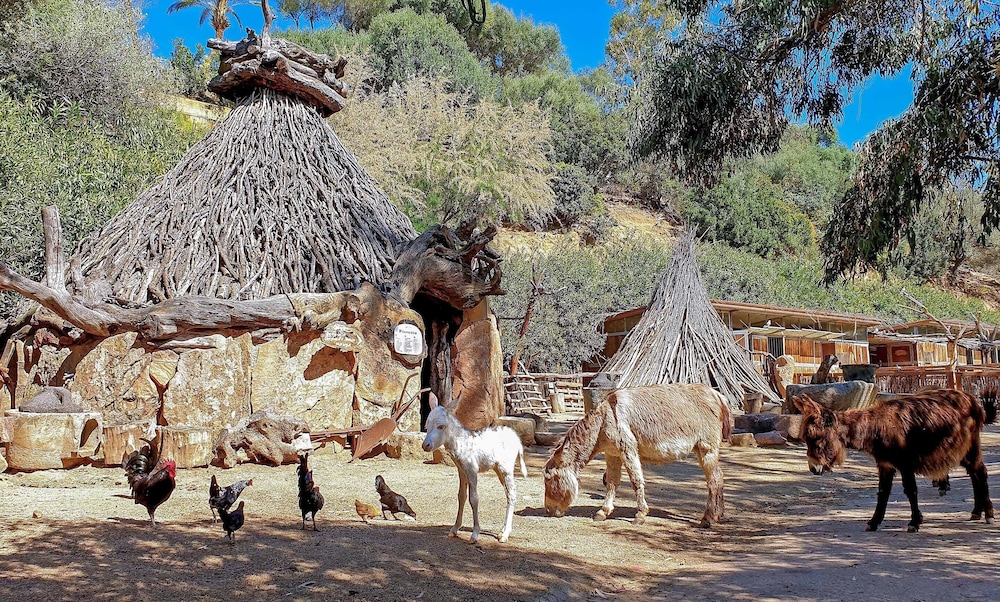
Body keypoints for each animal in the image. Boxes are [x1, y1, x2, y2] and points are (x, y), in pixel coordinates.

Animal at [543, 383, 732, 527]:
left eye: (548, 479)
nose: (548, 511)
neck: (603, 420)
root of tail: (717, 395)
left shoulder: (628, 449)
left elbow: (636, 481)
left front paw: (640, 515)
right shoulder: (612, 454)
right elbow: (611, 482)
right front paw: (603, 512)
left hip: (707, 448)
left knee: (714, 480)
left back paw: (708, 519)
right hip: (700, 449)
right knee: (719, 476)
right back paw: (718, 514)